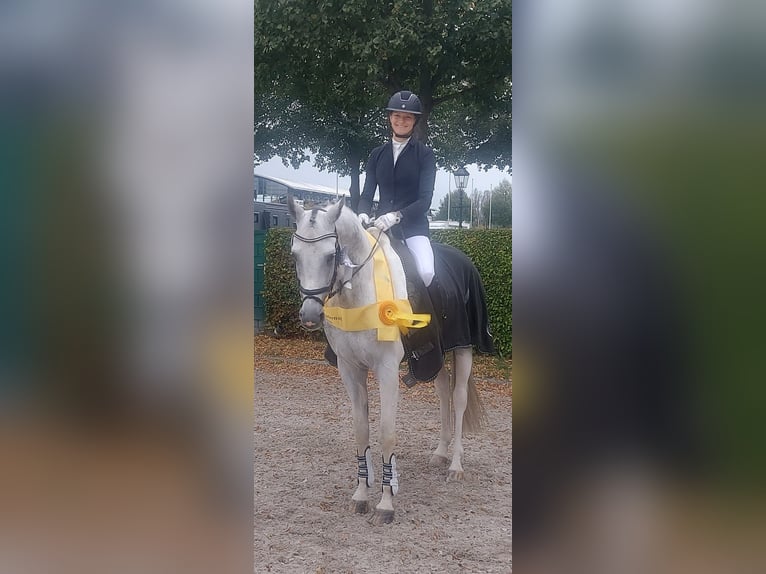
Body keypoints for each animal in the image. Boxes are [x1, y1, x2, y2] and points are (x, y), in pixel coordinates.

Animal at [287, 195, 489, 525]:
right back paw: (441, 452)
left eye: (331, 256)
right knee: (443, 392)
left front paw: (385, 503)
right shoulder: (350, 369)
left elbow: (386, 432)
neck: (359, 293)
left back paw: (455, 465)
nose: (309, 316)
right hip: (436, 355)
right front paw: (360, 495)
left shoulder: (386, 369)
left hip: (463, 347)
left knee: (458, 399)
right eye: (295, 255)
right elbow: (361, 430)